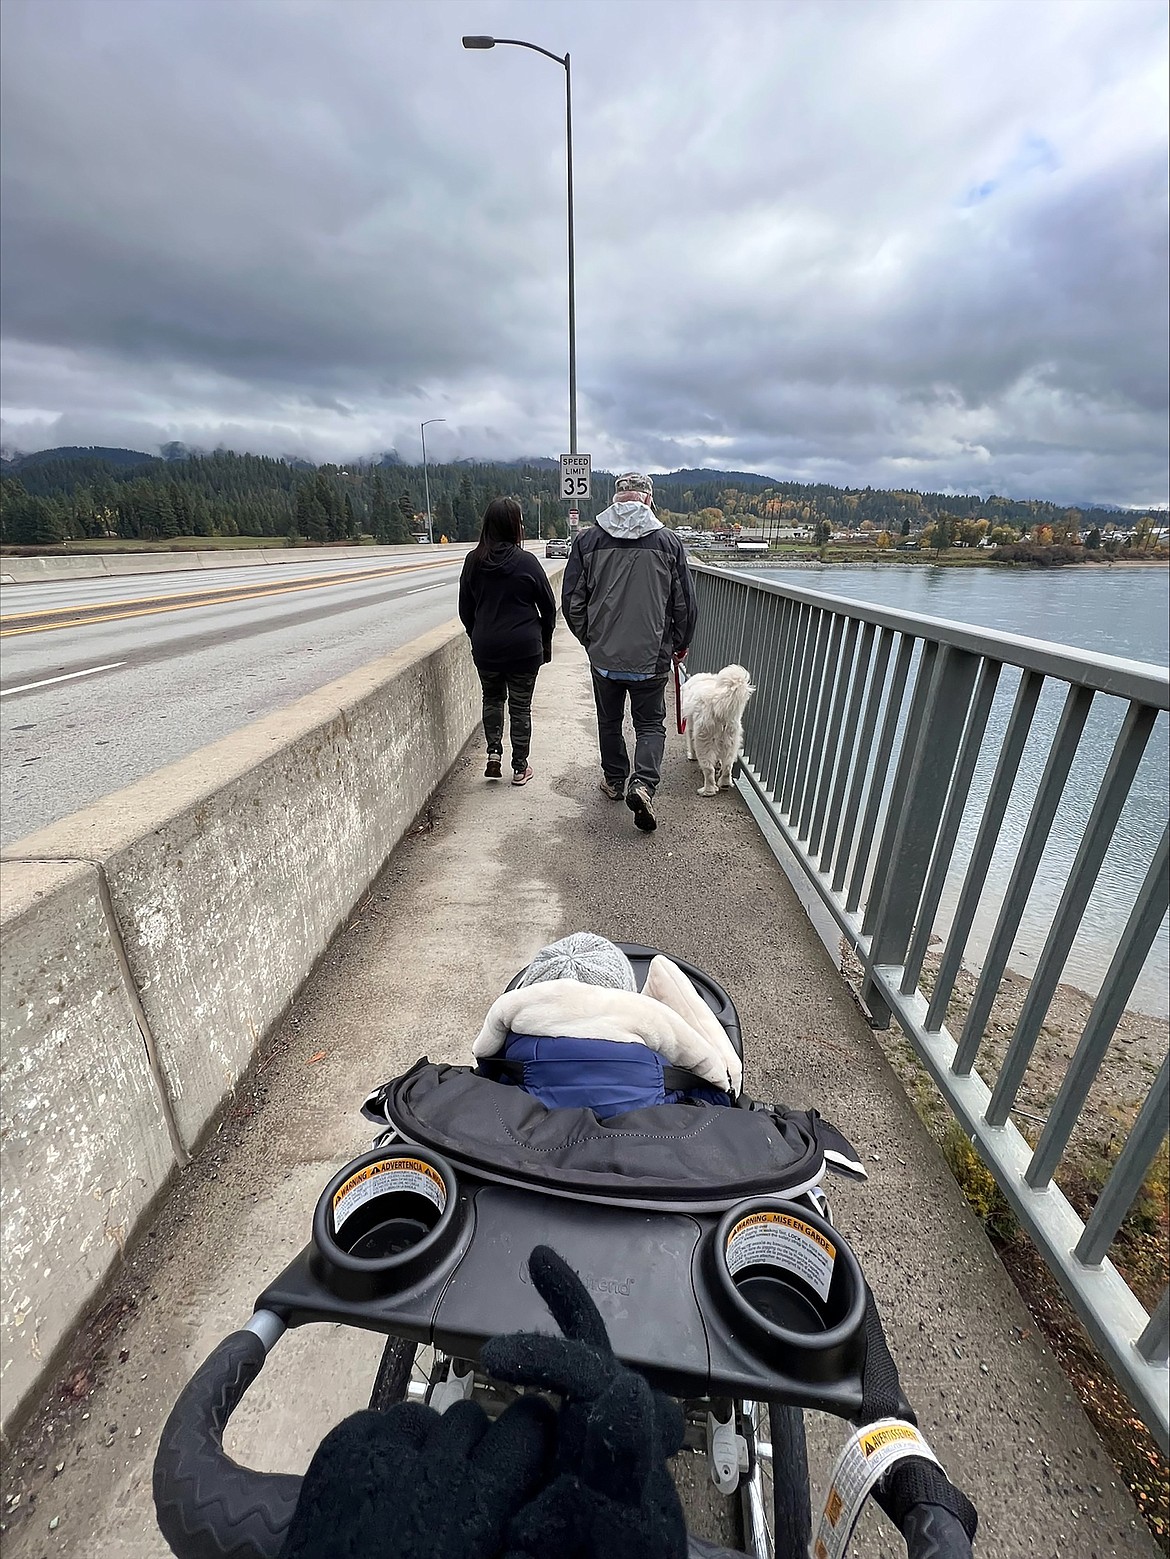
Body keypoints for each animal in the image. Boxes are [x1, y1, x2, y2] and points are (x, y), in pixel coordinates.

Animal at [683, 664, 755, 798]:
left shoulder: (690, 728)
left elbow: (691, 744)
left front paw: (692, 756)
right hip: (731, 741)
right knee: (727, 766)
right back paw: (725, 784)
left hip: (704, 740)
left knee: (708, 770)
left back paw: (707, 791)